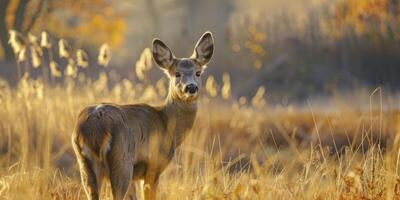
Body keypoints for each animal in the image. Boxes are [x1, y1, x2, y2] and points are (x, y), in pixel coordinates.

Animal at [72, 31, 216, 200]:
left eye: (198, 73)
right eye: (176, 74)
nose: (191, 87)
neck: (167, 125)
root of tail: (95, 130)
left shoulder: (137, 175)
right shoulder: (154, 164)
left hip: (85, 164)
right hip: (122, 160)